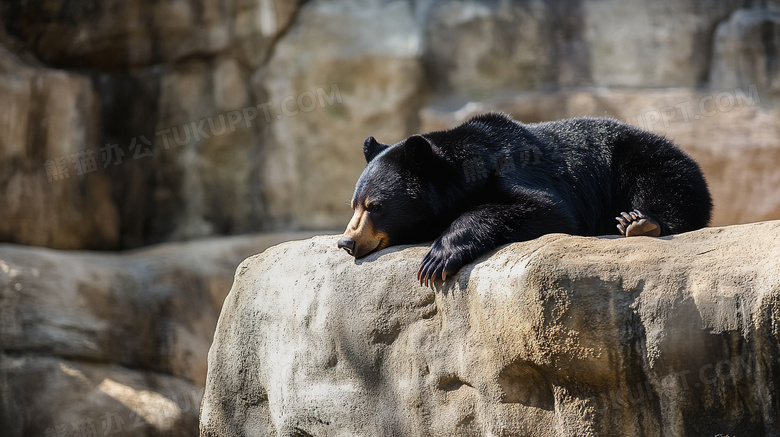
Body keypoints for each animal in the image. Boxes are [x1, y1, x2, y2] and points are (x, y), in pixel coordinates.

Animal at [336, 113, 712, 286]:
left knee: (670, 183)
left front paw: (437, 259)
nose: (347, 242)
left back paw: (639, 222)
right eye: (354, 205)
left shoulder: (520, 170)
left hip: (644, 158)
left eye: (375, 207)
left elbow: (548, 210)